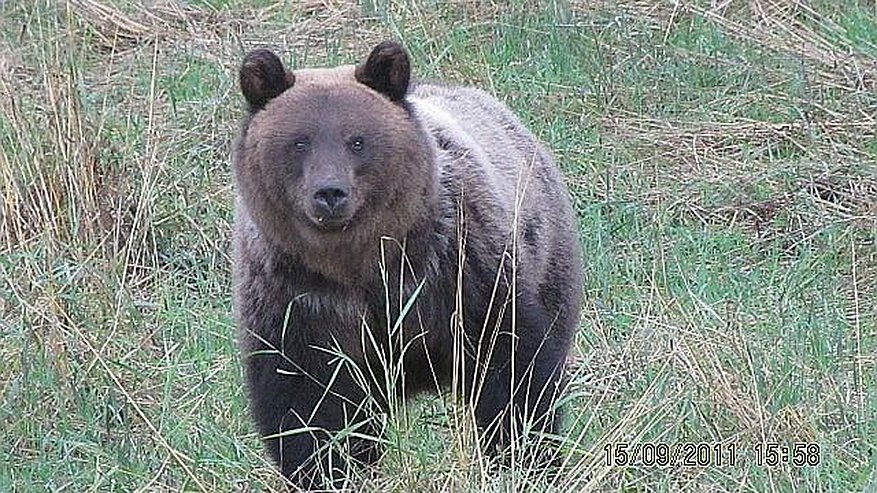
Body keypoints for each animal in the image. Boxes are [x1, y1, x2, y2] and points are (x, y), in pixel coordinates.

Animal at [231, 40, 580, 486]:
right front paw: (327, 470)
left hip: (546, 261)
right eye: (299, 141)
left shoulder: (456, 273)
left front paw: (523, 458)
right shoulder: (298, 300)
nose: (330, 193)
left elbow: (512, 370)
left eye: (357, 140)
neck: (356, 262)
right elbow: (308, 406)